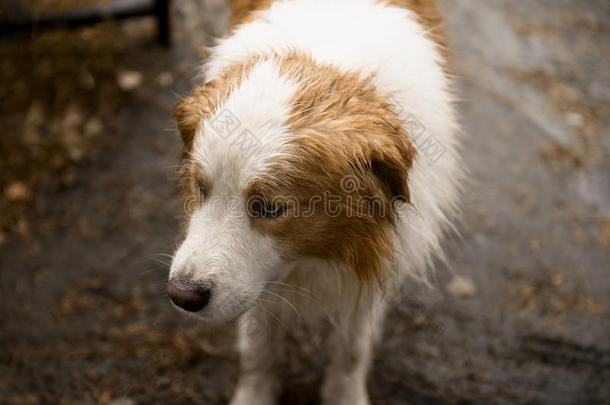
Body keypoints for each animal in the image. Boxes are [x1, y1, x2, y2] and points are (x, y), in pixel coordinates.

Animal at [169, 1, 458, 402]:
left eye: (269, 208)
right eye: (201, 187)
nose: (181, 296)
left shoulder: (369, 269)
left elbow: (351, 351)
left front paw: (345, 394)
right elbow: (259, 347)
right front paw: (255, 393)